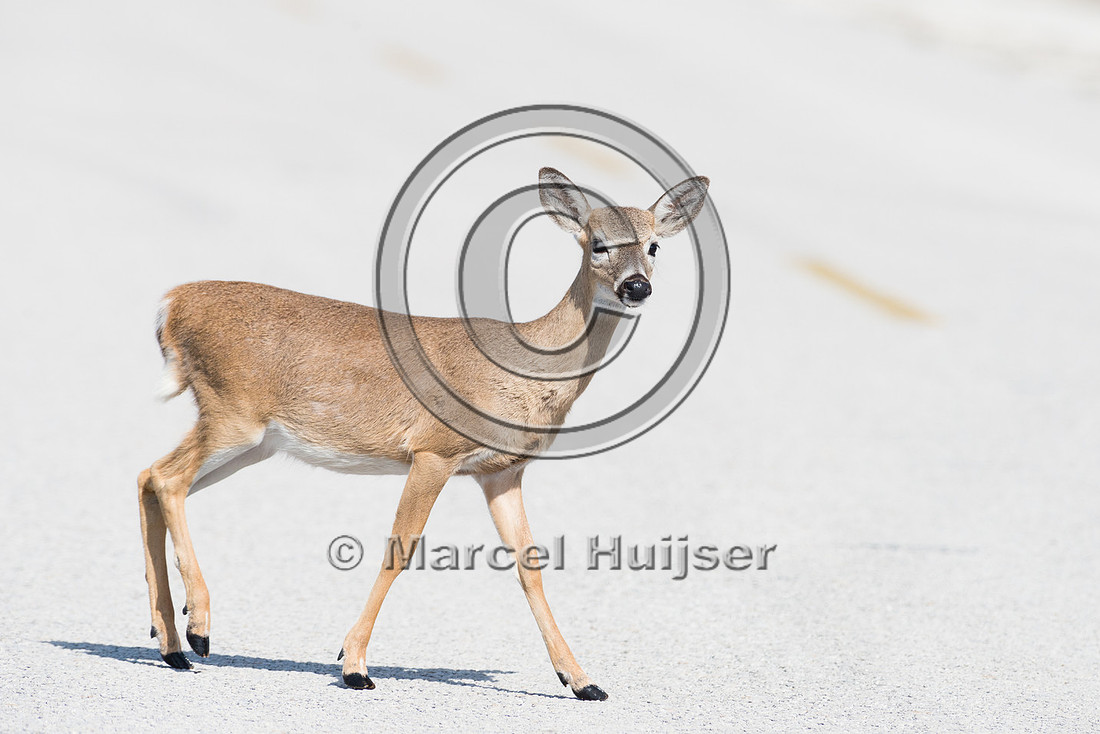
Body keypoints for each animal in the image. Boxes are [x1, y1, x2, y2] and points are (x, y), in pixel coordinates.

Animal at [137, 167, 710, 700]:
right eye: (597, 243)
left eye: (655, 244)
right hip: (232, 413)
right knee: (166, 478)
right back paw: (199, 628)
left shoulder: (501, 472)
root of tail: (170, 305)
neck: (526, 369)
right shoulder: (435, 450)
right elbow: (400, 549)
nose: (636, 286)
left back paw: (170, 643)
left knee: (149, 478)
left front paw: (583, 681)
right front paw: (354, 665)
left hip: (255, 442)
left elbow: (530, 565)